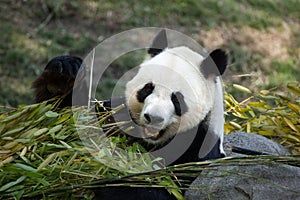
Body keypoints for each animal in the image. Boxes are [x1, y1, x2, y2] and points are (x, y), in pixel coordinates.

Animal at [31, 28, 227, 199]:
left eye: (177, 99)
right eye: (147, 89)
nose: (153, 118)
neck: (150, 141)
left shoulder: (199, 148)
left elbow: (163, 190)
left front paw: (109, 175)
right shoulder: (116, 115)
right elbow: (64, 122)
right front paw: (63, 72)